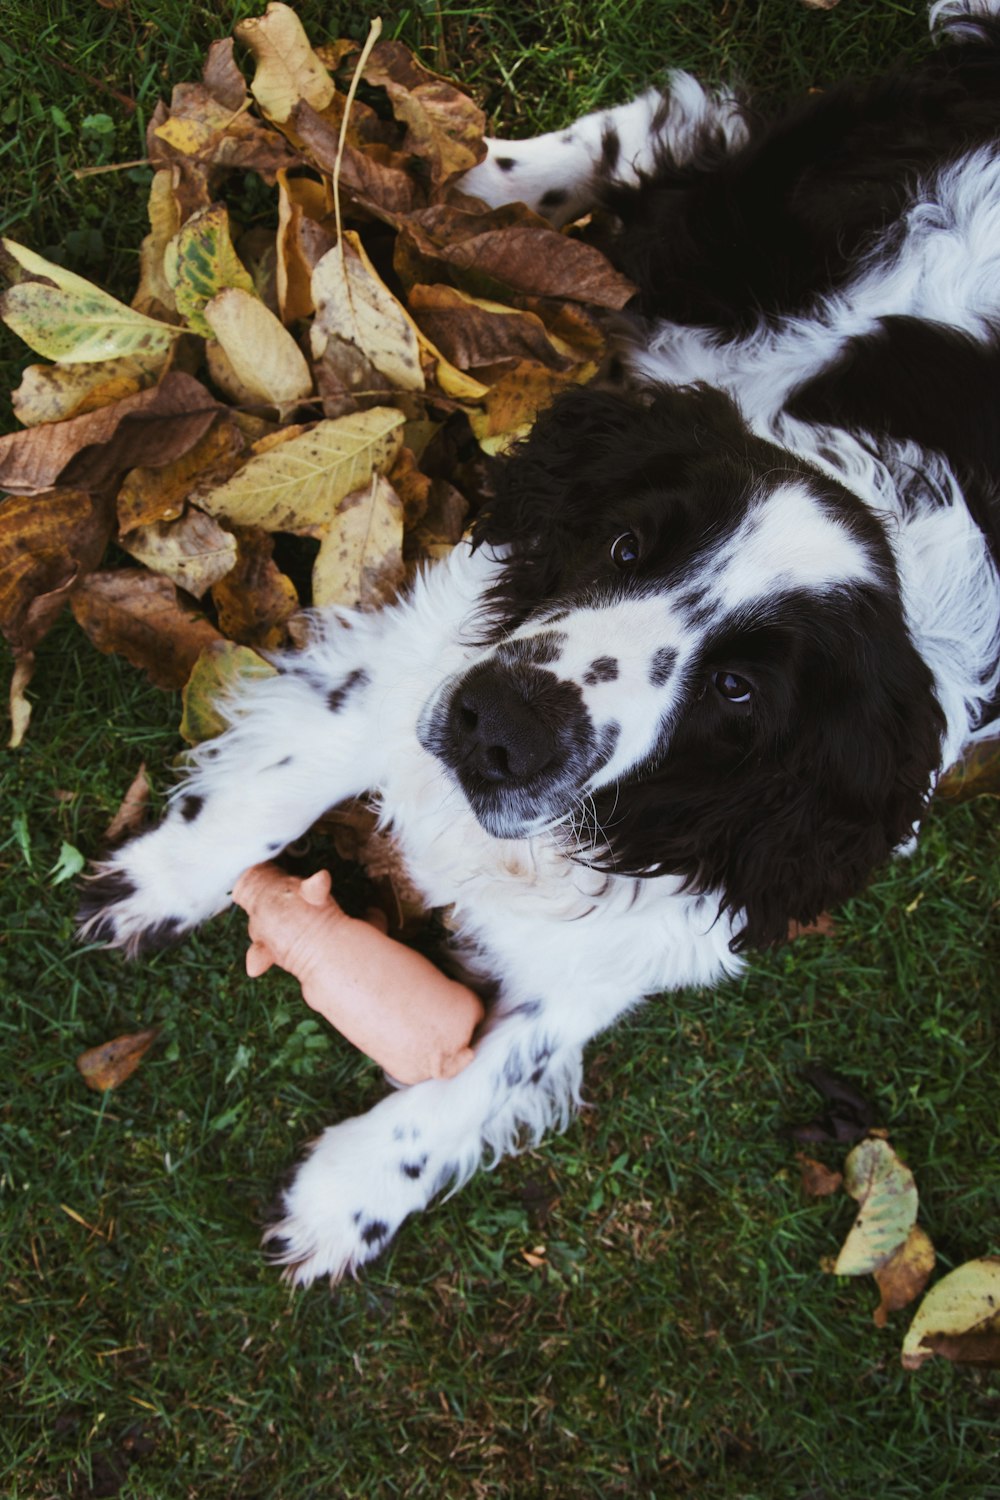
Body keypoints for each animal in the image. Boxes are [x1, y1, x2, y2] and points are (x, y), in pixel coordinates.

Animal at [80, 2, 1000, 1290]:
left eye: (737, 693)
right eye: (623, 544)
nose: (501, 732)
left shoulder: (634, 939)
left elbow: (487, 1069)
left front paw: (350, 1198)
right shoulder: (426, 653)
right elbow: (269, 788)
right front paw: (161, 881)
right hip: (743, 224)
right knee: (664, 127)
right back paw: (436, 168)